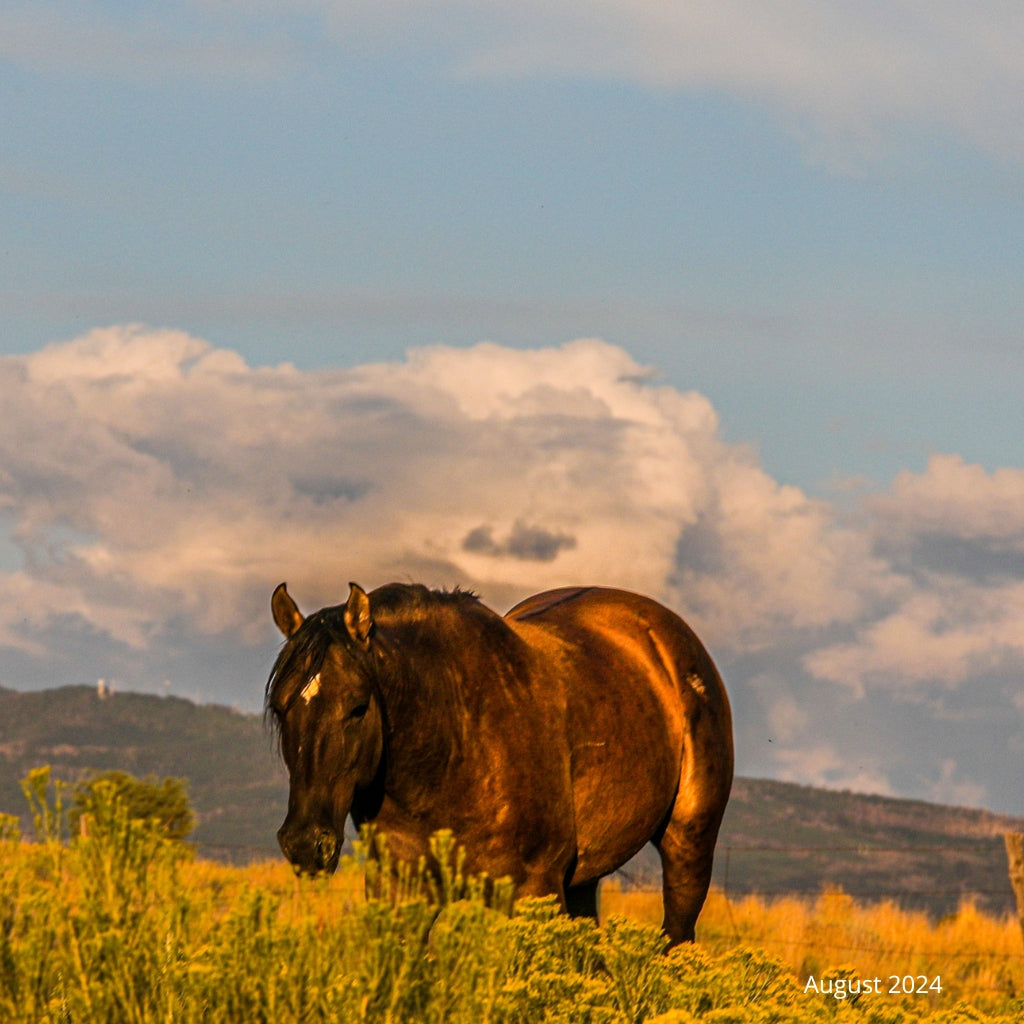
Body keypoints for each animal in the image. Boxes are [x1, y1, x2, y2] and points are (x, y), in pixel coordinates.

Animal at [264, 585, 729, 942]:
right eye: (281, 708)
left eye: (359, 707)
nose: (306, 845)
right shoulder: (399, 891)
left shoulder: (534, 890)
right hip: (583, 880)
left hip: (688, 845)